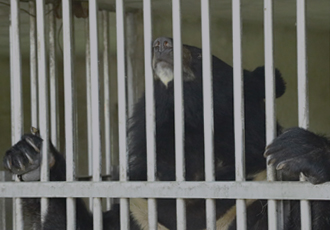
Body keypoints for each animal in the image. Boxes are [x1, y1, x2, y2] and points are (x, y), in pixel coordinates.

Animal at [3, 36, 328, 229]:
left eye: (199, 55)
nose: (161, 43)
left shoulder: (253, 196)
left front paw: (300, 149)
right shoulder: (138, 207)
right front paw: (31, 159)